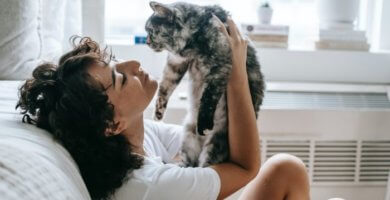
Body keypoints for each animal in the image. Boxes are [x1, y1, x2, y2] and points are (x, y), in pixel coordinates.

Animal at [146, 1, 266, 167]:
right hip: (188, 139)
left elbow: (208, 97)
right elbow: (165, 86)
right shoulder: (175, 63)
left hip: (215, 145)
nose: (146, 42)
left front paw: (203, 122)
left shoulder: (220, 64)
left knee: (205, 164)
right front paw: (158, 113)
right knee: (190, 165)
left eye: (151, 31)